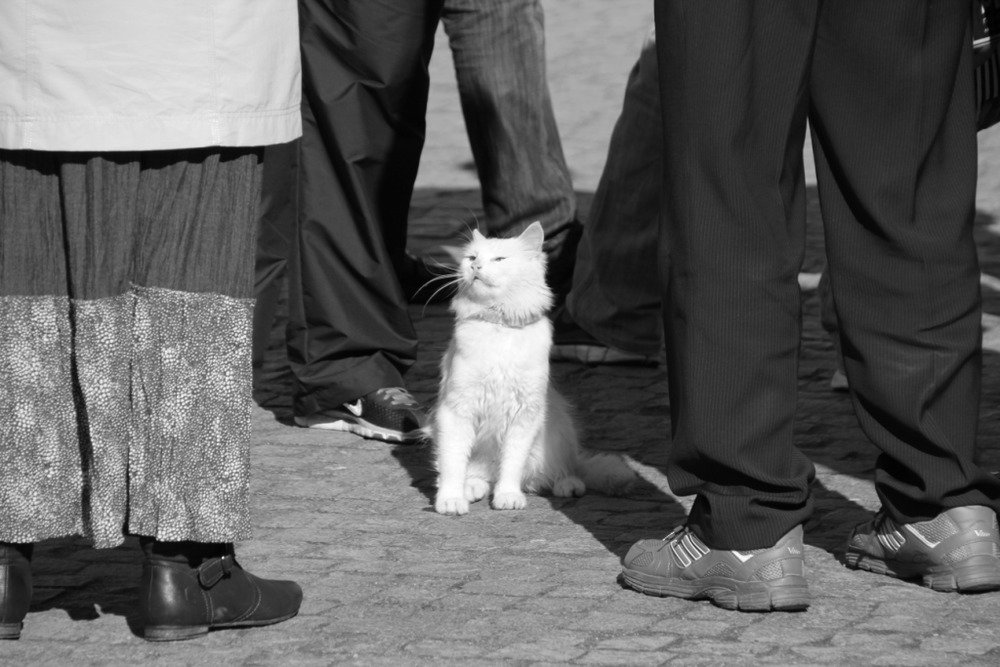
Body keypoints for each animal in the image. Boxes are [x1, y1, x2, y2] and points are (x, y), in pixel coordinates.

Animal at [428, 220, 632, 516]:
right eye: (471, 258)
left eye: (499, 259)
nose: (475, 267)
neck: (500, 324)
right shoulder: (456, 410)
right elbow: (453, 462)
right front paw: (451, 500)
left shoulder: (525, 413)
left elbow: (512, 464)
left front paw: (508, 496)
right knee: (483, 475)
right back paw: (473, 487)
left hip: (559, 430)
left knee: (562, 470)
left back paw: (568, 485)